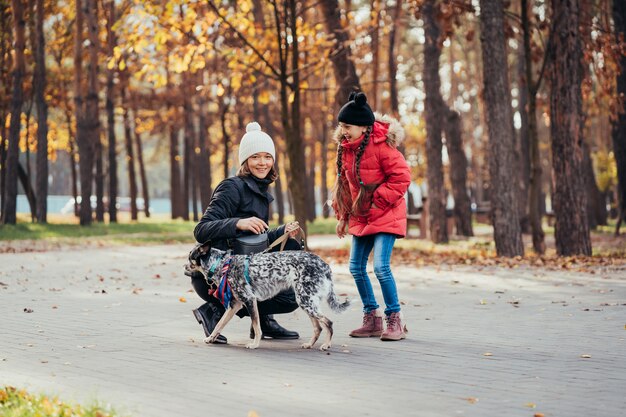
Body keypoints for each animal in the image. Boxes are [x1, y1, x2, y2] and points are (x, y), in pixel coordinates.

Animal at [185, 242, 348, 350]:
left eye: (190, 258)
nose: (184, 266)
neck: (222, 264)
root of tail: (324, 265)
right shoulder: (234, 305)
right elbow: (219, 324)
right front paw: (211, 338)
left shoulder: (249, 300)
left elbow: (257, 327)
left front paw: (255, 344)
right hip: (307, 302)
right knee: (318, 328)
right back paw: (309, 344)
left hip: (305, 301)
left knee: (328, 323)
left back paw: (326, 344)